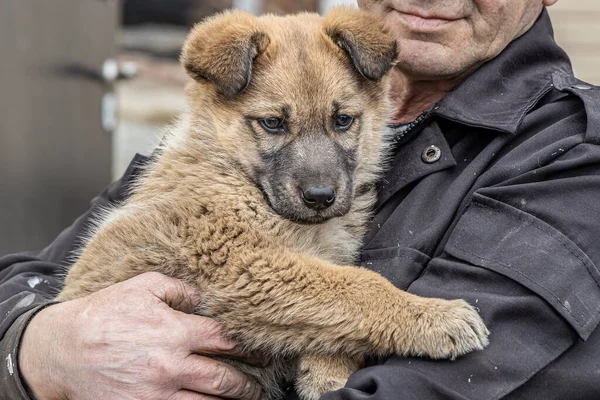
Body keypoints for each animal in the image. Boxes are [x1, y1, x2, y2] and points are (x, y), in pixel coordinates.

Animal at [56, 7, 490, 400]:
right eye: (272, 123)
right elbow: (355, 286)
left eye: (343, 120)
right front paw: (436, 317)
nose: (320, 197)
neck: (232, 170)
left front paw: (328, 373)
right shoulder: (241, 259)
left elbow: (337, 304)